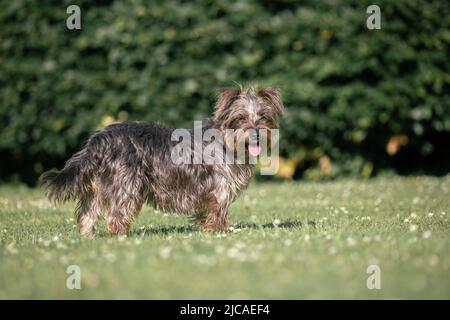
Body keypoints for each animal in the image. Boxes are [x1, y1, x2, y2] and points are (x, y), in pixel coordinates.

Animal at [40, 86, 284, 236]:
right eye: (240, 118)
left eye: (263, 116)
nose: (256, 133)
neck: (227, 142)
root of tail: (100, 138)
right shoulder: (220, 189)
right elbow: (218, 212)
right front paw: (220, 232)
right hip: (126, 185)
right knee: (116, 215)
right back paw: (119, 237)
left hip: (99, 187)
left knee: (88, 214)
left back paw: (87, 238)